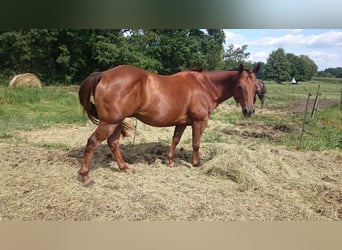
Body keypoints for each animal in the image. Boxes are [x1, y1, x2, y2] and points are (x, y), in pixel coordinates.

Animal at [78, 64, 260, 186]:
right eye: (239, 86)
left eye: (255, 87)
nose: (249, 111)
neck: (205, 86)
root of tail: (104, 74)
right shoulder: (199, 122)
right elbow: (196, 143)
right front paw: (196, 164)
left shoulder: (182, 123)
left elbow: (175, 140)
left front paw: (170, 161)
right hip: (109, 123)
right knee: (92, 143)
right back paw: (86, 176)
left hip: (115, 123)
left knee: (113, 143)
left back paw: (125, 168)